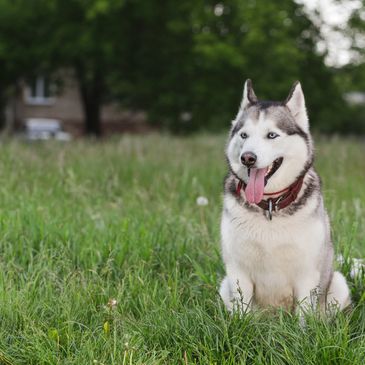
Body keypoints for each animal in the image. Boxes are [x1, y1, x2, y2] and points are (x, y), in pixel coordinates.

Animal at [219, 79, 350, 312]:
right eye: (244, 135)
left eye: (272, 135)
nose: (247, 158)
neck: (270, 204)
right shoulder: (237, 270)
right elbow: (241, 312)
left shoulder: (307, 273)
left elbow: (304, 313)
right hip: (224, 286)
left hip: (338, 283)